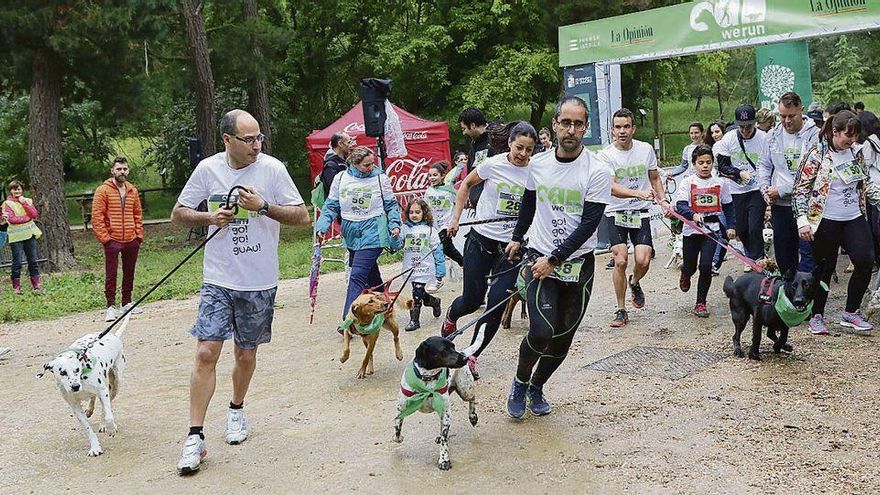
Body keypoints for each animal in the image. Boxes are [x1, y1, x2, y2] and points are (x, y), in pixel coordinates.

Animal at [40, 316, 130, 456]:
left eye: (76, 369)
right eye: (62, 372)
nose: (75, 386)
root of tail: (114, 336)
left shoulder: (103, 391)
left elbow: (109, 415)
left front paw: (111, 428)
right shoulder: (74, 406)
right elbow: (87, 429)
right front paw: (95, 448)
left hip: (115, 385)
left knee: (106, 405)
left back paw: (104, 424)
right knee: (93, 399)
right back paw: (90, 409)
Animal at [394, 324, 484, 470]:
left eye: (453, 346)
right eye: (444, 350)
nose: (464, 359)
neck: (427, 380)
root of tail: (464, 352)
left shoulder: (446, 413)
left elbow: (444, 440)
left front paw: (444, 460)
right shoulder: (400, 409)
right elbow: (397, 430)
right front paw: (399, 438)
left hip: (465, 390)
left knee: (472, 398)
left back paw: (473, 416)